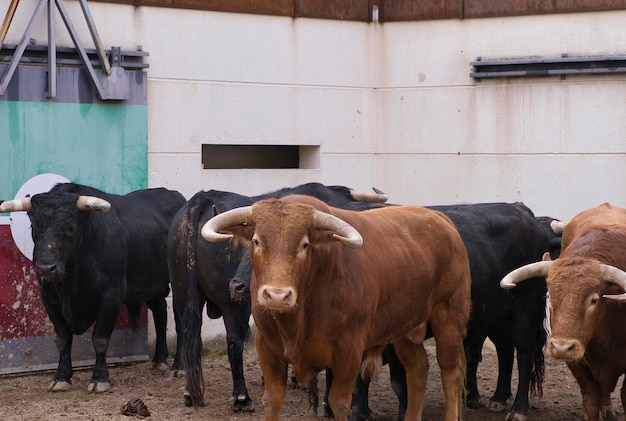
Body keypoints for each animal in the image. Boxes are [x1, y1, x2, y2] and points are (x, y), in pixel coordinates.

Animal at [0, 182, 185, 392]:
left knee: (181, 321)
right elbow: (63, 339)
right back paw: (159, 361)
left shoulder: (111, 297)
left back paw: (179, 367)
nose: (46, 268)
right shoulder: (49, 298)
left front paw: (99, 378)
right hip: (152, 283)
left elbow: (100, 339)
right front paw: (61, 377)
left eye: (71, 227)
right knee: (160, 312)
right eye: (34, 225)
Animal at [165, 181, 386, 410]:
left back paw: (189, 391)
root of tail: (201, 200)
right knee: (234, 340)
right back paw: (241, 397)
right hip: (232, 306)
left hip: (183, 295)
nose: (237, 284)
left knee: (188, 334)